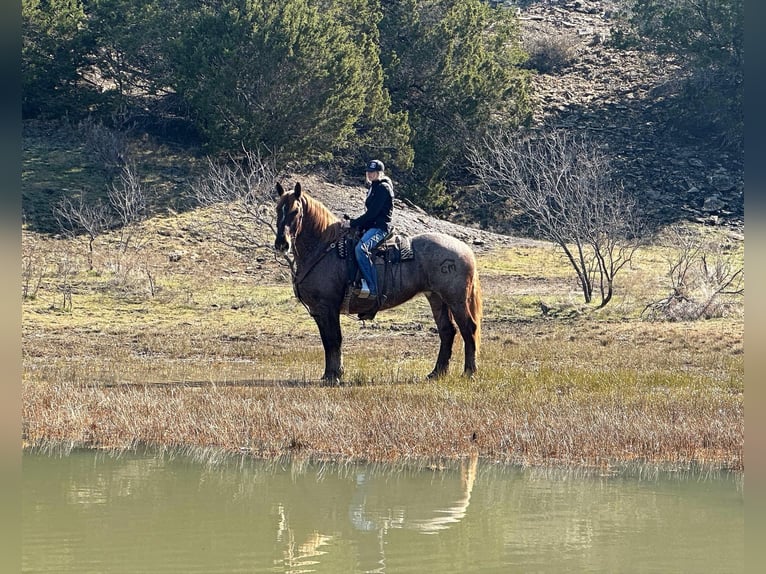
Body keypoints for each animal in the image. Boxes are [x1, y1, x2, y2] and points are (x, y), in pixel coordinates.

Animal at [273, 181, 482, 383]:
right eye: (278, 209)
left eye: (295, 211)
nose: (282, 244)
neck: (323, 248)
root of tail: (464, 249)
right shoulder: (319, 311)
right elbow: (328, 341)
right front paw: (330, 374)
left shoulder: (328, 307)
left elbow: (333, 340)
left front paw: (334, 375)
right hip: (436, 298)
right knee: (447, 331)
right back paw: (437, 372)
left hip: (456, 300)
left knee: (468, 328)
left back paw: (469, 372)